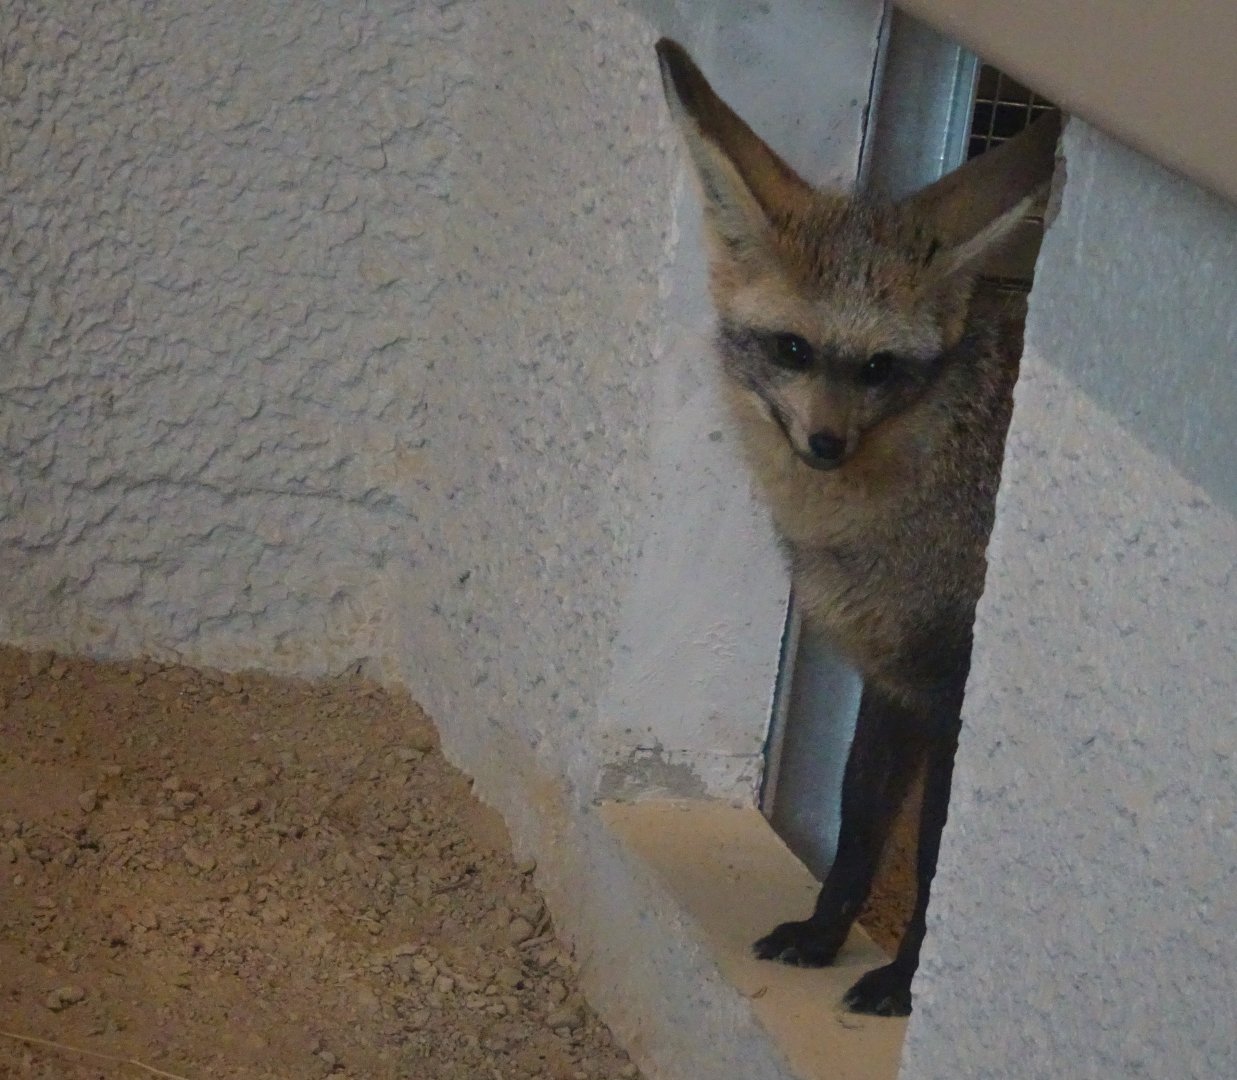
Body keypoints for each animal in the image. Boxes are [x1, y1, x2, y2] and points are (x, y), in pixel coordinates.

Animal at [654, 38, 1060, 1016]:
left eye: (878, 367)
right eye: (793, 350)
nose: (825, 445)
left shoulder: (951, 695)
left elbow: (934, 865)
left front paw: (908, 980)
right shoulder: (889, 678)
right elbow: (858, 822)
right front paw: (822, 934)